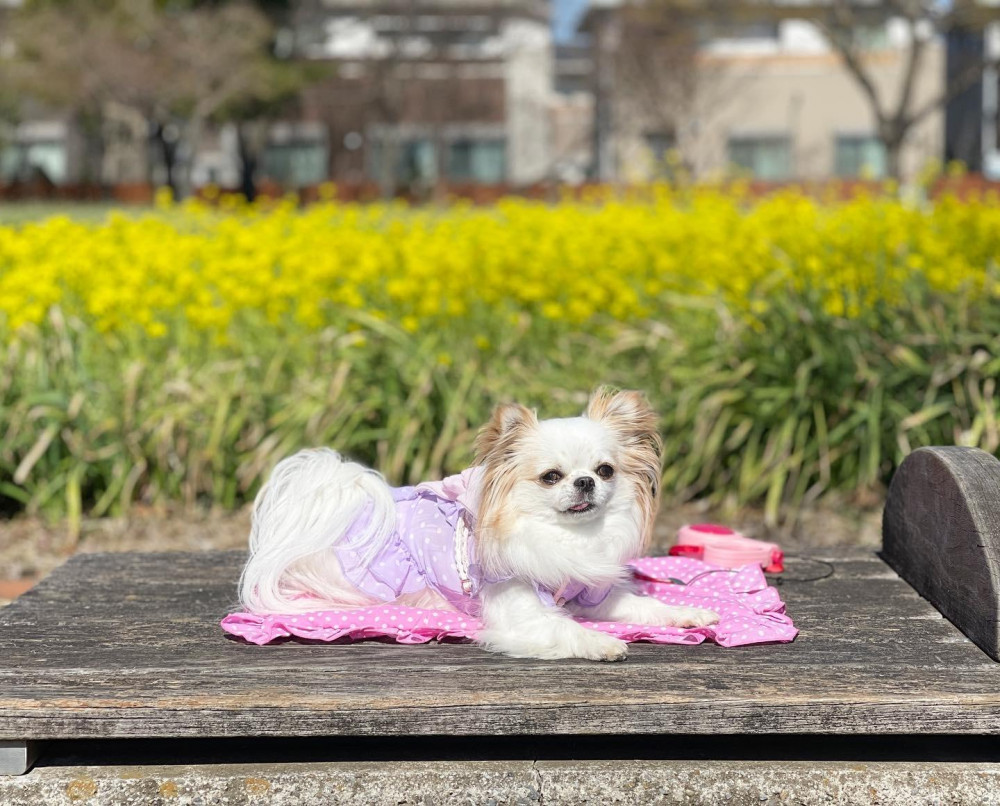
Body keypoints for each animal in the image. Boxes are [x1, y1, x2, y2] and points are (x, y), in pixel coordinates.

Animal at [238, 390, 716, 664]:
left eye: (605, 471)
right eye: (551, 477)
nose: (585, 482)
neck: (566, 538)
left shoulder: (591, 593)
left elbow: (642, 606)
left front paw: (690, 613)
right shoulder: (520, 612)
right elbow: (562, 627)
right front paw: (602, 644)